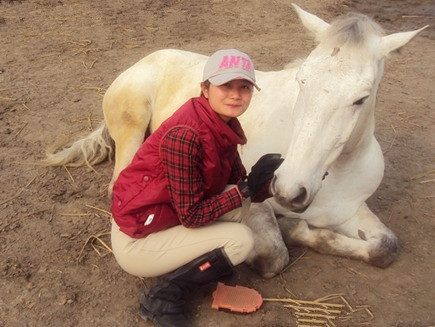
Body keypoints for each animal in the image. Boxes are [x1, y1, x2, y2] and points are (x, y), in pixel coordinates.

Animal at [45, 3, 430, 278]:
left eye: (361, 99)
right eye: (302, 80)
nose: (290, 190)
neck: (334, 174)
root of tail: (144, 60)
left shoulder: (348, 210)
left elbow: (385, 247)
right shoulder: (250, 194)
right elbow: (274, 252)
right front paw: (290, 229)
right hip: (133, 121)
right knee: (118, 182)